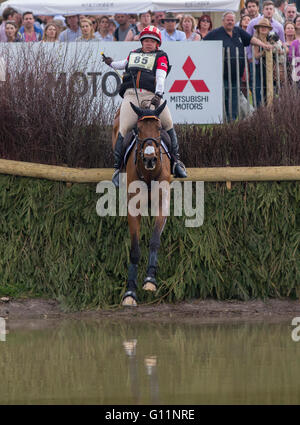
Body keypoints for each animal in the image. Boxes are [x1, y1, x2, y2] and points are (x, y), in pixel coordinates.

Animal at [111, 99, 171, 304]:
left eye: (159, 128)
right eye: (137, 130)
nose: (150, 159)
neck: (150, 174)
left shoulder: (162, 203)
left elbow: (154, 240)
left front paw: (150, 280)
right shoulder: (133, 208)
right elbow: (135, 250)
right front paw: (130, 292)